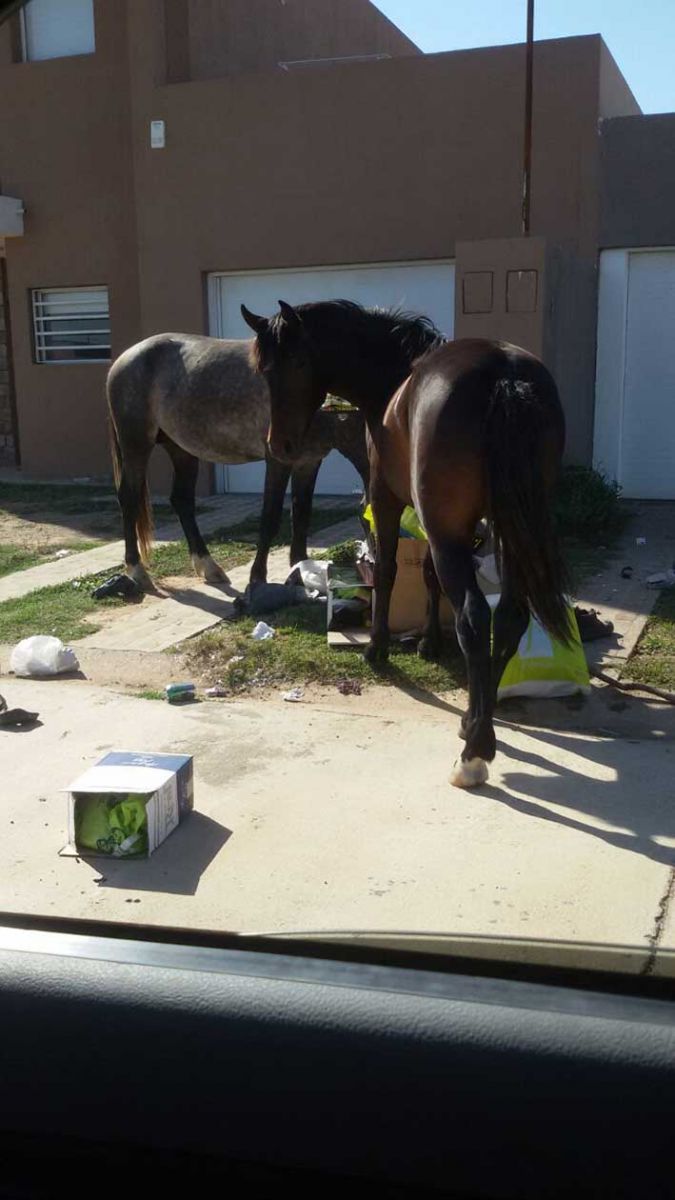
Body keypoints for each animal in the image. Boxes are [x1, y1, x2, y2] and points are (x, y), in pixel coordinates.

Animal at [241, 300, 566, 787]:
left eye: (297, 361)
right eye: (263, 369)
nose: (279, 444)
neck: (393, 376)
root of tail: (503, 376)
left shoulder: (387, 499)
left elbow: (389, 570)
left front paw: (377, 647)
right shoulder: (436, 521)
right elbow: (428, 576)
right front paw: (429, 643)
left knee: (475, 618)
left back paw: (474, 753)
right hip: (511, 528)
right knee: (509, 617)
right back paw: (476, 723)